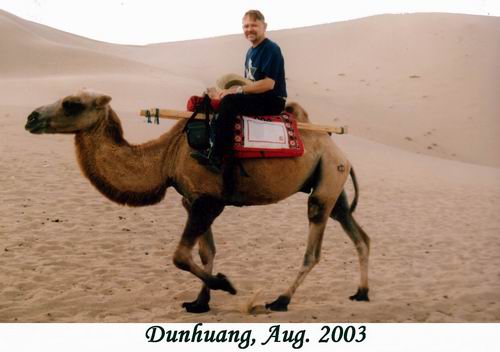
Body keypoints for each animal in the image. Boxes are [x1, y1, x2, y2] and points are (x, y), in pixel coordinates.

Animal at [25, 88, 370, 314]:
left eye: (70, 103)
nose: (31, 117)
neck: (166, 158)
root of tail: (341, 151)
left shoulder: (209, 201)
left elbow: (179, 255)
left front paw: (226, 284)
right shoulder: (192, 201)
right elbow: (206, 251)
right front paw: (200, 302)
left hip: (326, 182)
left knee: (313, 248)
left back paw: (281, 300)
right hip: (332, 185)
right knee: (359, 235)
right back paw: (362, 293)